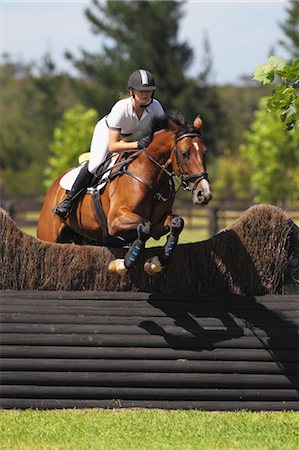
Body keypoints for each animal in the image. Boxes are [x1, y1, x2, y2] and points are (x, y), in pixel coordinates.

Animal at [36, 110, 212, 276]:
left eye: (205, 152)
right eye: (184, 153)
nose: (204, 193)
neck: (150, 177)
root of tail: (54, 187)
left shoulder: (158, 224)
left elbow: (176, 222)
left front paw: (156, 263)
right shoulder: (115, 220)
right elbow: (144, 226)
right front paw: (121, 264)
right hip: (48, 235)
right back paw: (63, 206)